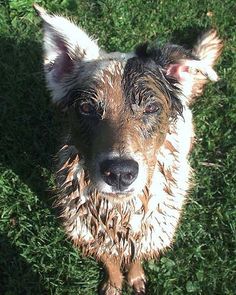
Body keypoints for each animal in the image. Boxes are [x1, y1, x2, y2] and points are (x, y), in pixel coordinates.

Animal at [34, 4, 222, 295]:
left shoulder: (150, 234)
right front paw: (113, 283)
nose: (120, 174)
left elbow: (135, 259)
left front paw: (134, 277)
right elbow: (110, 262)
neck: (119, 212)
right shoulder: (92, 236)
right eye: (86, 108)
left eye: (152, 108)